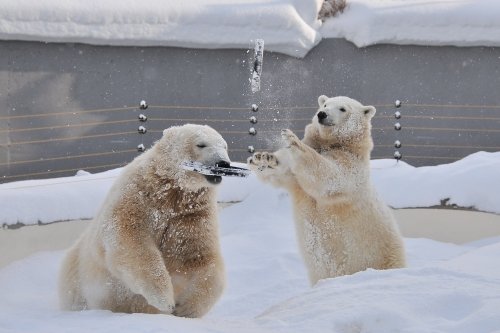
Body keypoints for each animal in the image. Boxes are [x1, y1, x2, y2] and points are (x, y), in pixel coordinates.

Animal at [59, 123, 229, 316]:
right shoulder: (138, 198)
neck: (169, 192)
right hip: (76, 281)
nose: (223, 163)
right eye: (201, 144)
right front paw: (165, 300)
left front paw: (186, 308)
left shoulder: (191, 215)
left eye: (224, 146)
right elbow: (132, 241)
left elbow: (201, 258)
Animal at [249, 94, 406, 284]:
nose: (322, 114)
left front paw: (292, 140)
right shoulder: (297, 180)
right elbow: (286, 172)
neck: (335, 144)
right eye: (324, 104)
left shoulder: (351, 167)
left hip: (383, 256)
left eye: (342, 108)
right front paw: (263, 159)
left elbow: (330, 176)